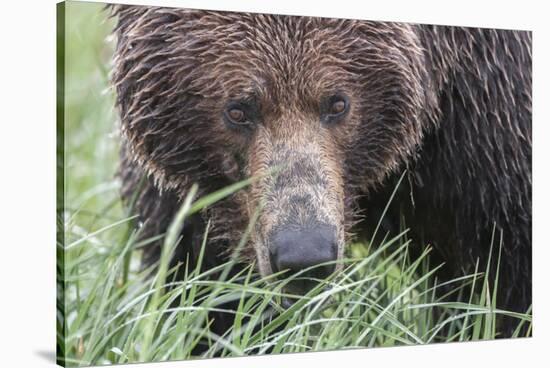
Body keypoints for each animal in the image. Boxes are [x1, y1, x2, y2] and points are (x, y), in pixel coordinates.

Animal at [110, 5, 532, 334]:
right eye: (238, 110)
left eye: (338, 103)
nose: (304, 254)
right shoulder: (195, 201)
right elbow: (205, 286)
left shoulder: (488, 148)